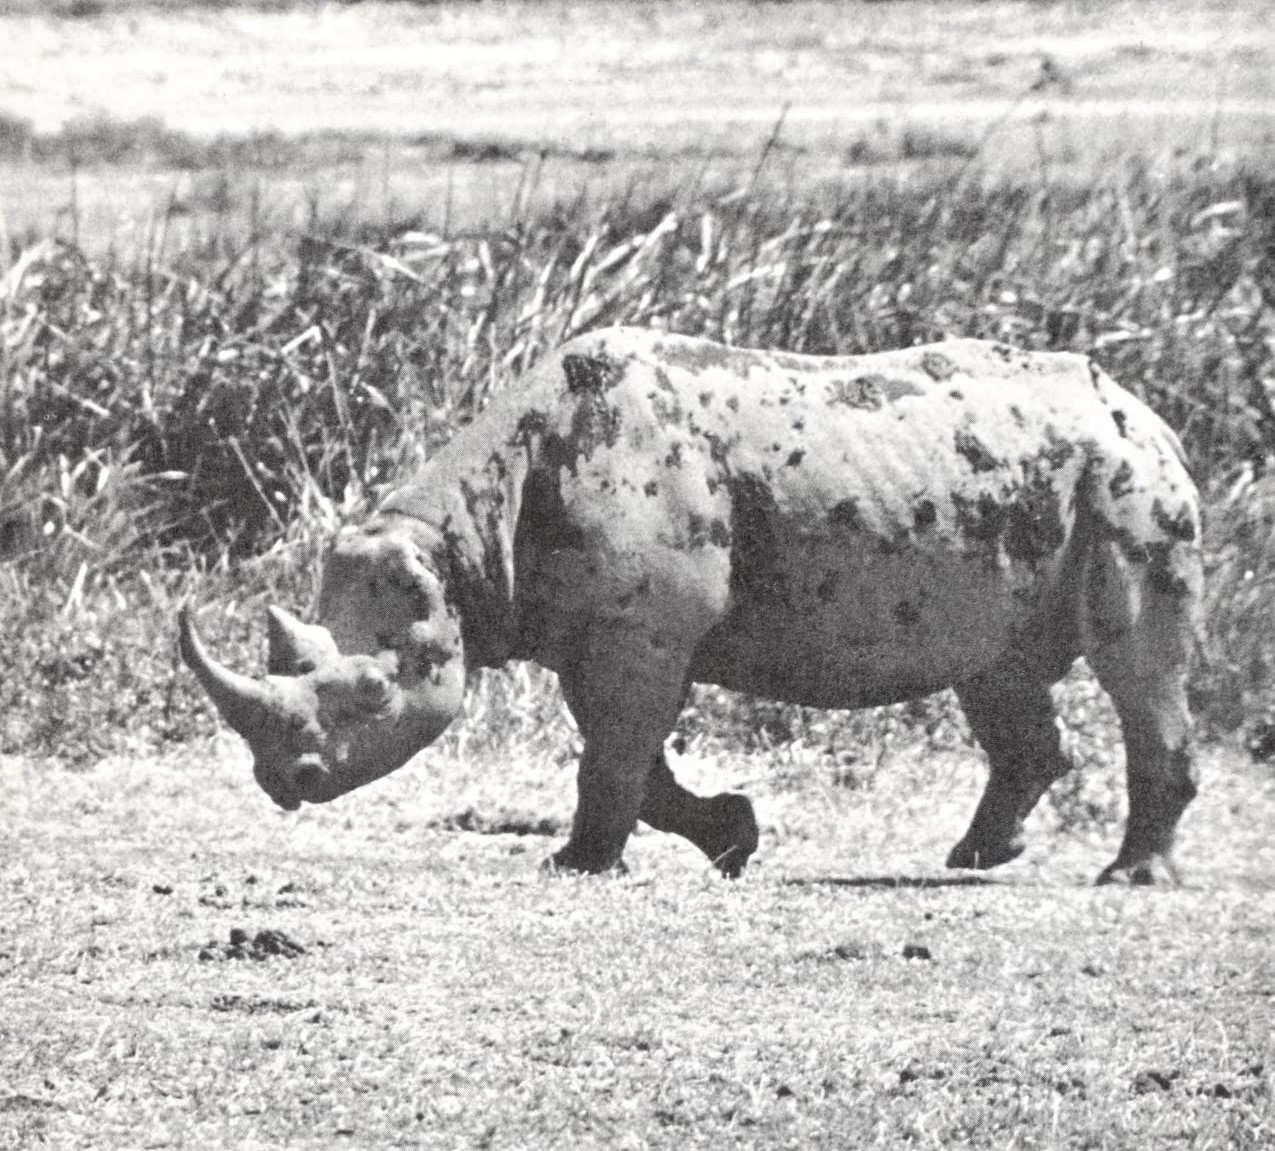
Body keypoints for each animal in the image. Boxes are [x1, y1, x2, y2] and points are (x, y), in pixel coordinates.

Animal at [180, 327, 1202, 884]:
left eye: (373, 696)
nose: (286, 783)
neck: (462, 544)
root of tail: (1151, 414)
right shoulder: (602, 628)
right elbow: (634, 758)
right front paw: (732, 838)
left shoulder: (639, 627)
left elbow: (615, 752)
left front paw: (575, 865)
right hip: (1027, 496)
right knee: (997, 671)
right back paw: (977, 857)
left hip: (1127, 485)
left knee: (1134, 663)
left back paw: (1125, 876)